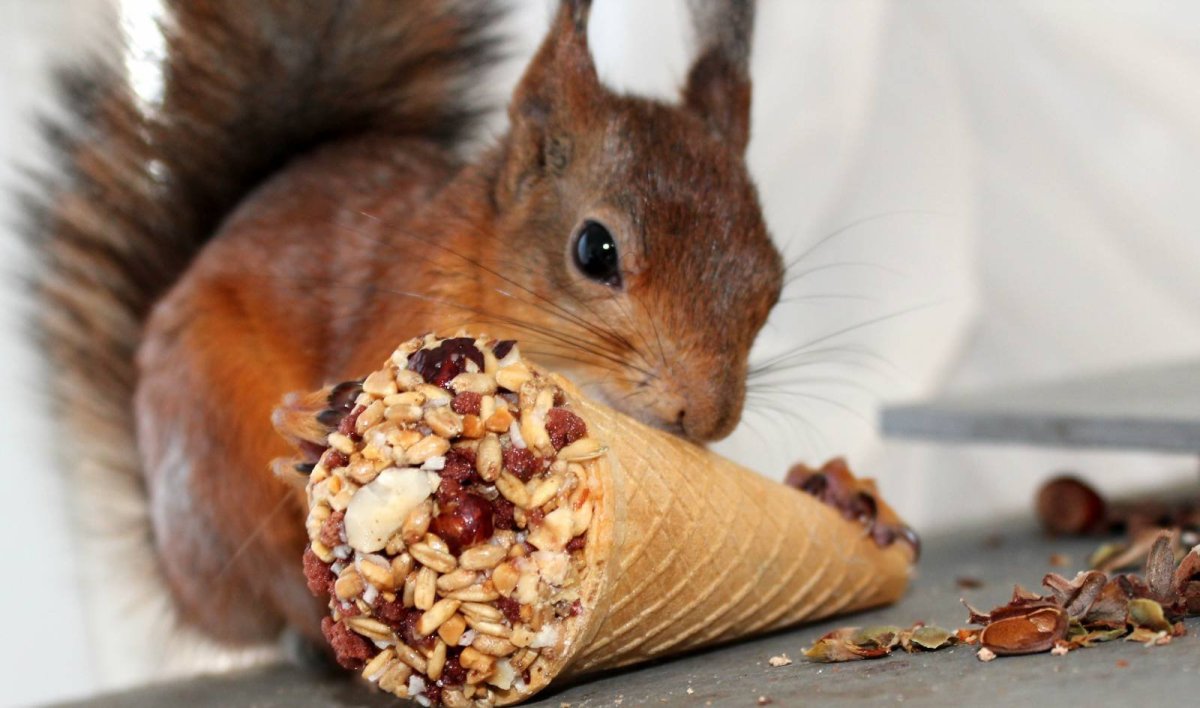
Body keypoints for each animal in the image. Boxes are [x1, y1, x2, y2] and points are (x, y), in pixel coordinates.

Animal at [28, 0, 783, 655]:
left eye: (773, 279)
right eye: (594, 250)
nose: (708, 417)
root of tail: (183, 577)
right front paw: (322, 426)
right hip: (217, 455)